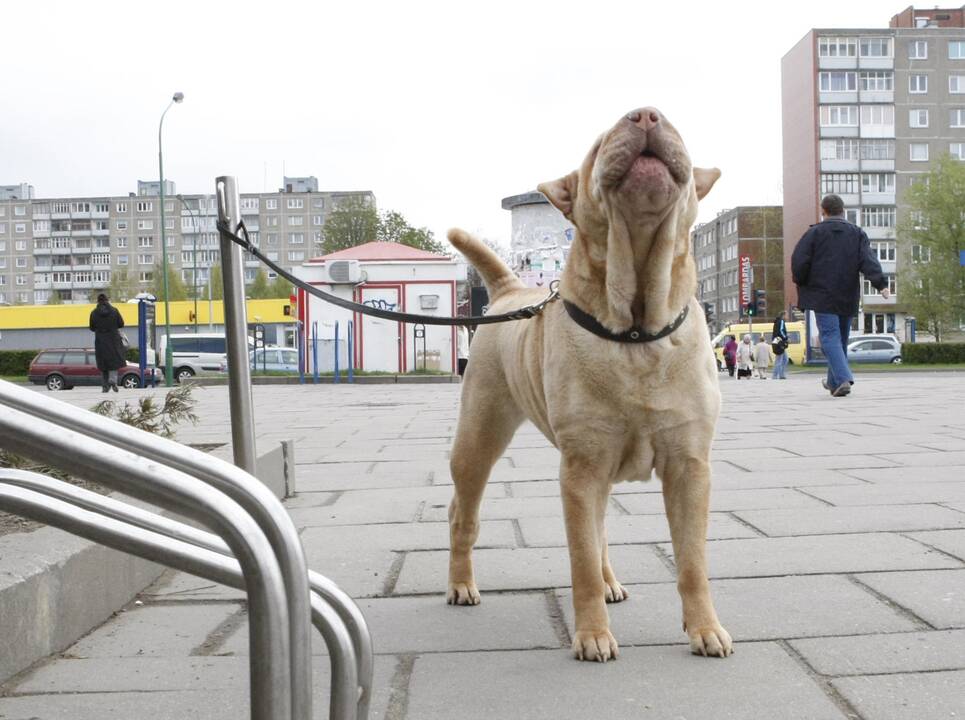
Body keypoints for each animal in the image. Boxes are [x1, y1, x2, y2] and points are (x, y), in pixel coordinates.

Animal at [444, 104, 732, 660]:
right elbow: (579, 561)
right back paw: (461, 584)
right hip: (479, 436)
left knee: (598, 530)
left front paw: (705, 628)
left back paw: (611, 581)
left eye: (673, 125)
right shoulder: (581, 467)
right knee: (462, 513)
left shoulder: (690, 466)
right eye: (599, 145)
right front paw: (593, 636)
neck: (637, 328)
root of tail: (509, 290)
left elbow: (692, 561)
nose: (645, 114)